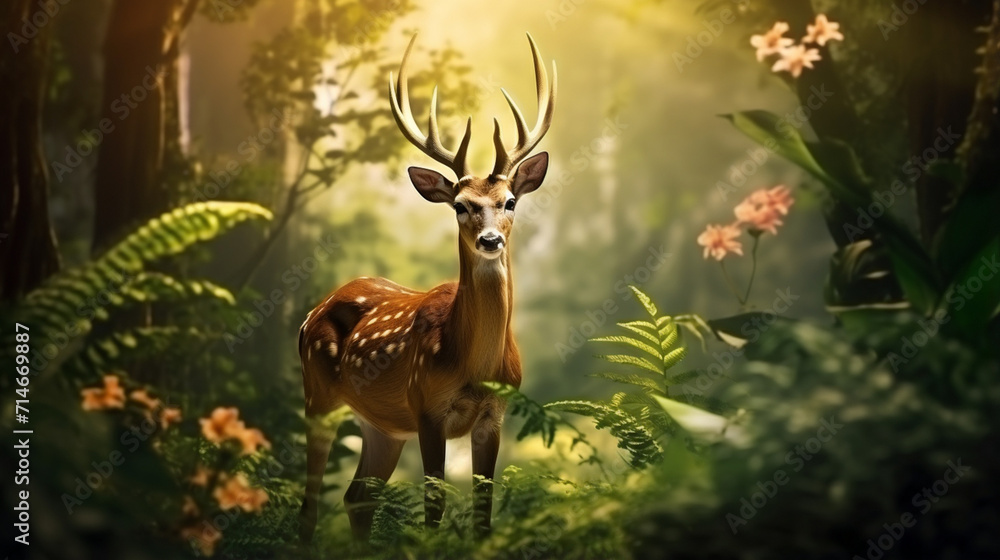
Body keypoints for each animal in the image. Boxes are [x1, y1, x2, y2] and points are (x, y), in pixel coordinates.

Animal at [297, 33, 556, 542]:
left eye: (510, 201)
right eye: (460, 205)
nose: (490, 240)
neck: (475, 367)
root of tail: (311, 314)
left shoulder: (495, 414)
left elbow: (483, 515)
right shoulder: (428, 409)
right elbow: (433, 510)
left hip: (381, 425)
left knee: (357, 497)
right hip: (318, 395)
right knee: (310, 503)